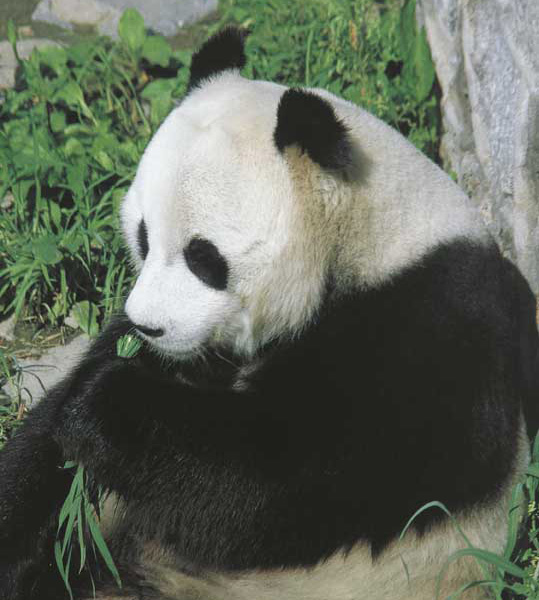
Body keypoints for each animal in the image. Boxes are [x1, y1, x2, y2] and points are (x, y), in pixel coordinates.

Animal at [1, 27, 539, 600]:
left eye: (203, 257)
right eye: (144, 238)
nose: (149, 327)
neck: (365, 237)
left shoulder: (433, 326)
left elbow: (301, 479)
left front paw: (106, 406)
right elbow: (44, 458)